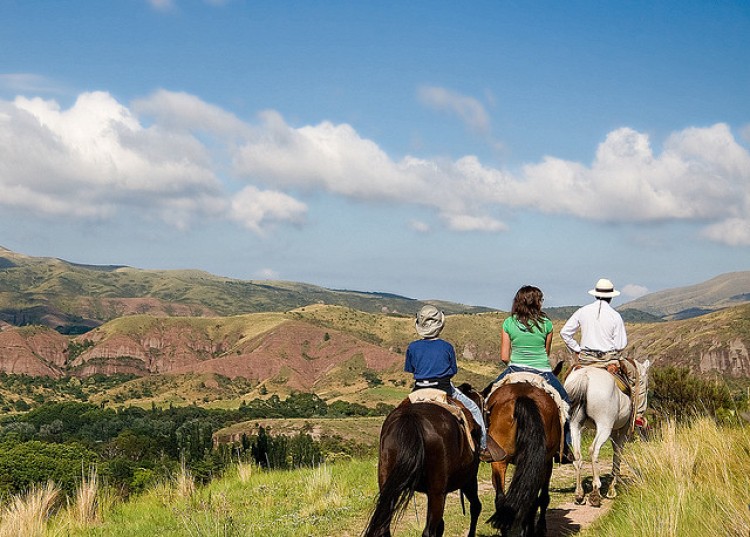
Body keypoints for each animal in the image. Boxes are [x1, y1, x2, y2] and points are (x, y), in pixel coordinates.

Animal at [488, 378, 564, 532]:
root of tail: (522, 398)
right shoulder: (548, 463)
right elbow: (544, 497)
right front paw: (540, 526)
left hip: (499, 461)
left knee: (501, 499)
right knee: (532, 500)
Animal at [564, 358, 652, 504]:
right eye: (645, 385)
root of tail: (585, 376)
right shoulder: (621, 431)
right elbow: (617, 454)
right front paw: (612, 488)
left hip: (575, 425)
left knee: (577, 455)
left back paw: (579, 494)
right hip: (604, 426)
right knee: (594, 450)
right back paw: (595, 491)